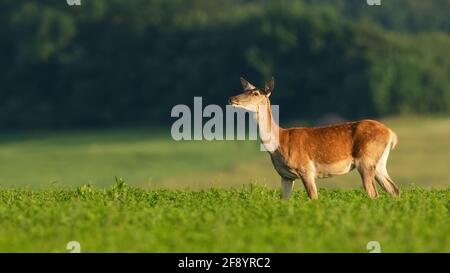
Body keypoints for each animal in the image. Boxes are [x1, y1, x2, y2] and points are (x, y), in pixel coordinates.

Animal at [230, 77, 400, 199]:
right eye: (245, 89)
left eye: (256, 93)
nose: (232, 99)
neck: (279, 143)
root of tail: (391, 133)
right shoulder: (285, 176)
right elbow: (284, 200)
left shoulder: (306, 169)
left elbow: (313, 198)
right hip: (379, 164)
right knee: (394, 190)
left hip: (366, 160)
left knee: (373, 193)